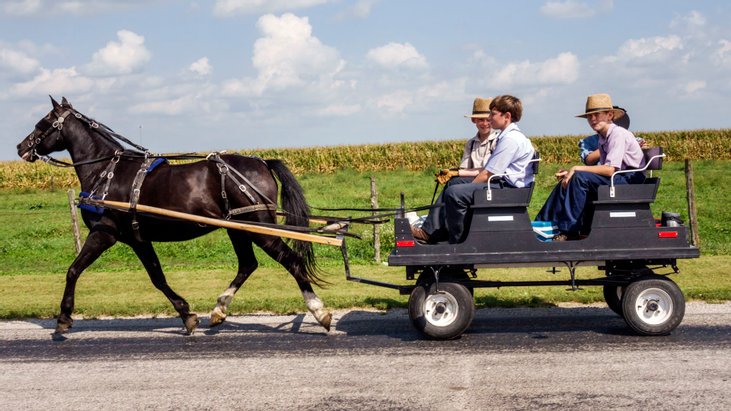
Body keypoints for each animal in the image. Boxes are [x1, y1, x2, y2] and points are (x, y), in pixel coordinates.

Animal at [16, 98, 332, 336]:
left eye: (42, 123)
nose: (21, 147)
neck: (106, 171)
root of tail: (262, 162)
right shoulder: (138, 239)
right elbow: (157, 276)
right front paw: (186, 313)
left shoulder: (106, 233)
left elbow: (74, 270)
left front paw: (63, 318)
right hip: (237, 227)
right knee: (248, 264)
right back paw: (219, 310)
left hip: (258, 226)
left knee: (290, 260)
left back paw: (319, 311)